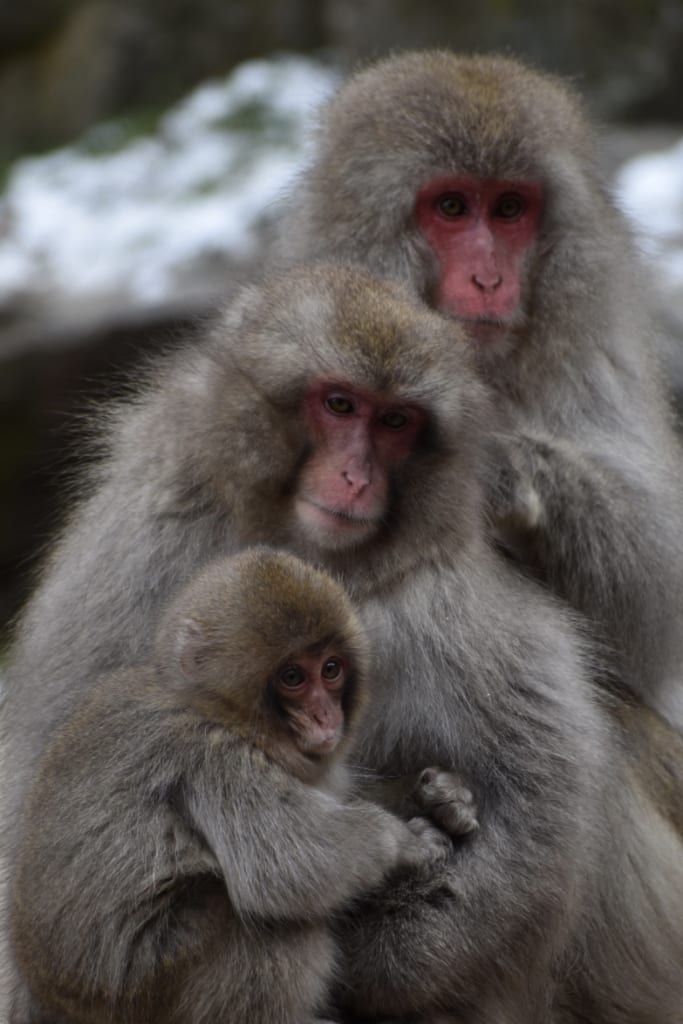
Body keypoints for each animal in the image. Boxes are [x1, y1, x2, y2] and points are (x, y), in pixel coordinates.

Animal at [9, 547, 468, 1024]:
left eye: (331, 669)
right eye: (293, 677)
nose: (326, 717)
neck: (217, 709)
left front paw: (432, 795)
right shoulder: (214, 759)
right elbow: (287, 865)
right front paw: (404, 842)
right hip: (147, 985)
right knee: (262, 922)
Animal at [276, 50, 683, 729]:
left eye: (510, 209)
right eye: (453, 207)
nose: (489, 279)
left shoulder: (591, 353)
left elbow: (653, 597)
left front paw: (506, 473)